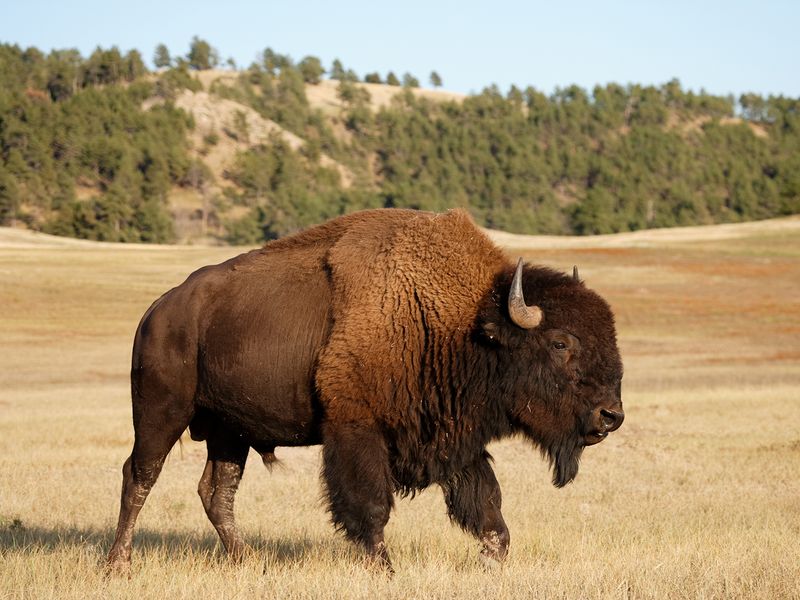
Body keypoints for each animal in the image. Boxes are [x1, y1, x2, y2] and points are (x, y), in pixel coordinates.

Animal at [106, 210, 620, 572]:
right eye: (560, 343)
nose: (610, 416)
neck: (463, 323)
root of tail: (158, 310)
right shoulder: (356, 430)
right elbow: (370, 507)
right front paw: (385, 570)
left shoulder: (454, 440)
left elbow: (487, 507)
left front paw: (489, 560)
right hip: (161, 413)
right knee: (140, 476)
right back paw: (119, 565)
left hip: (229, 432)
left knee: (217, 492)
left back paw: (248, 562)